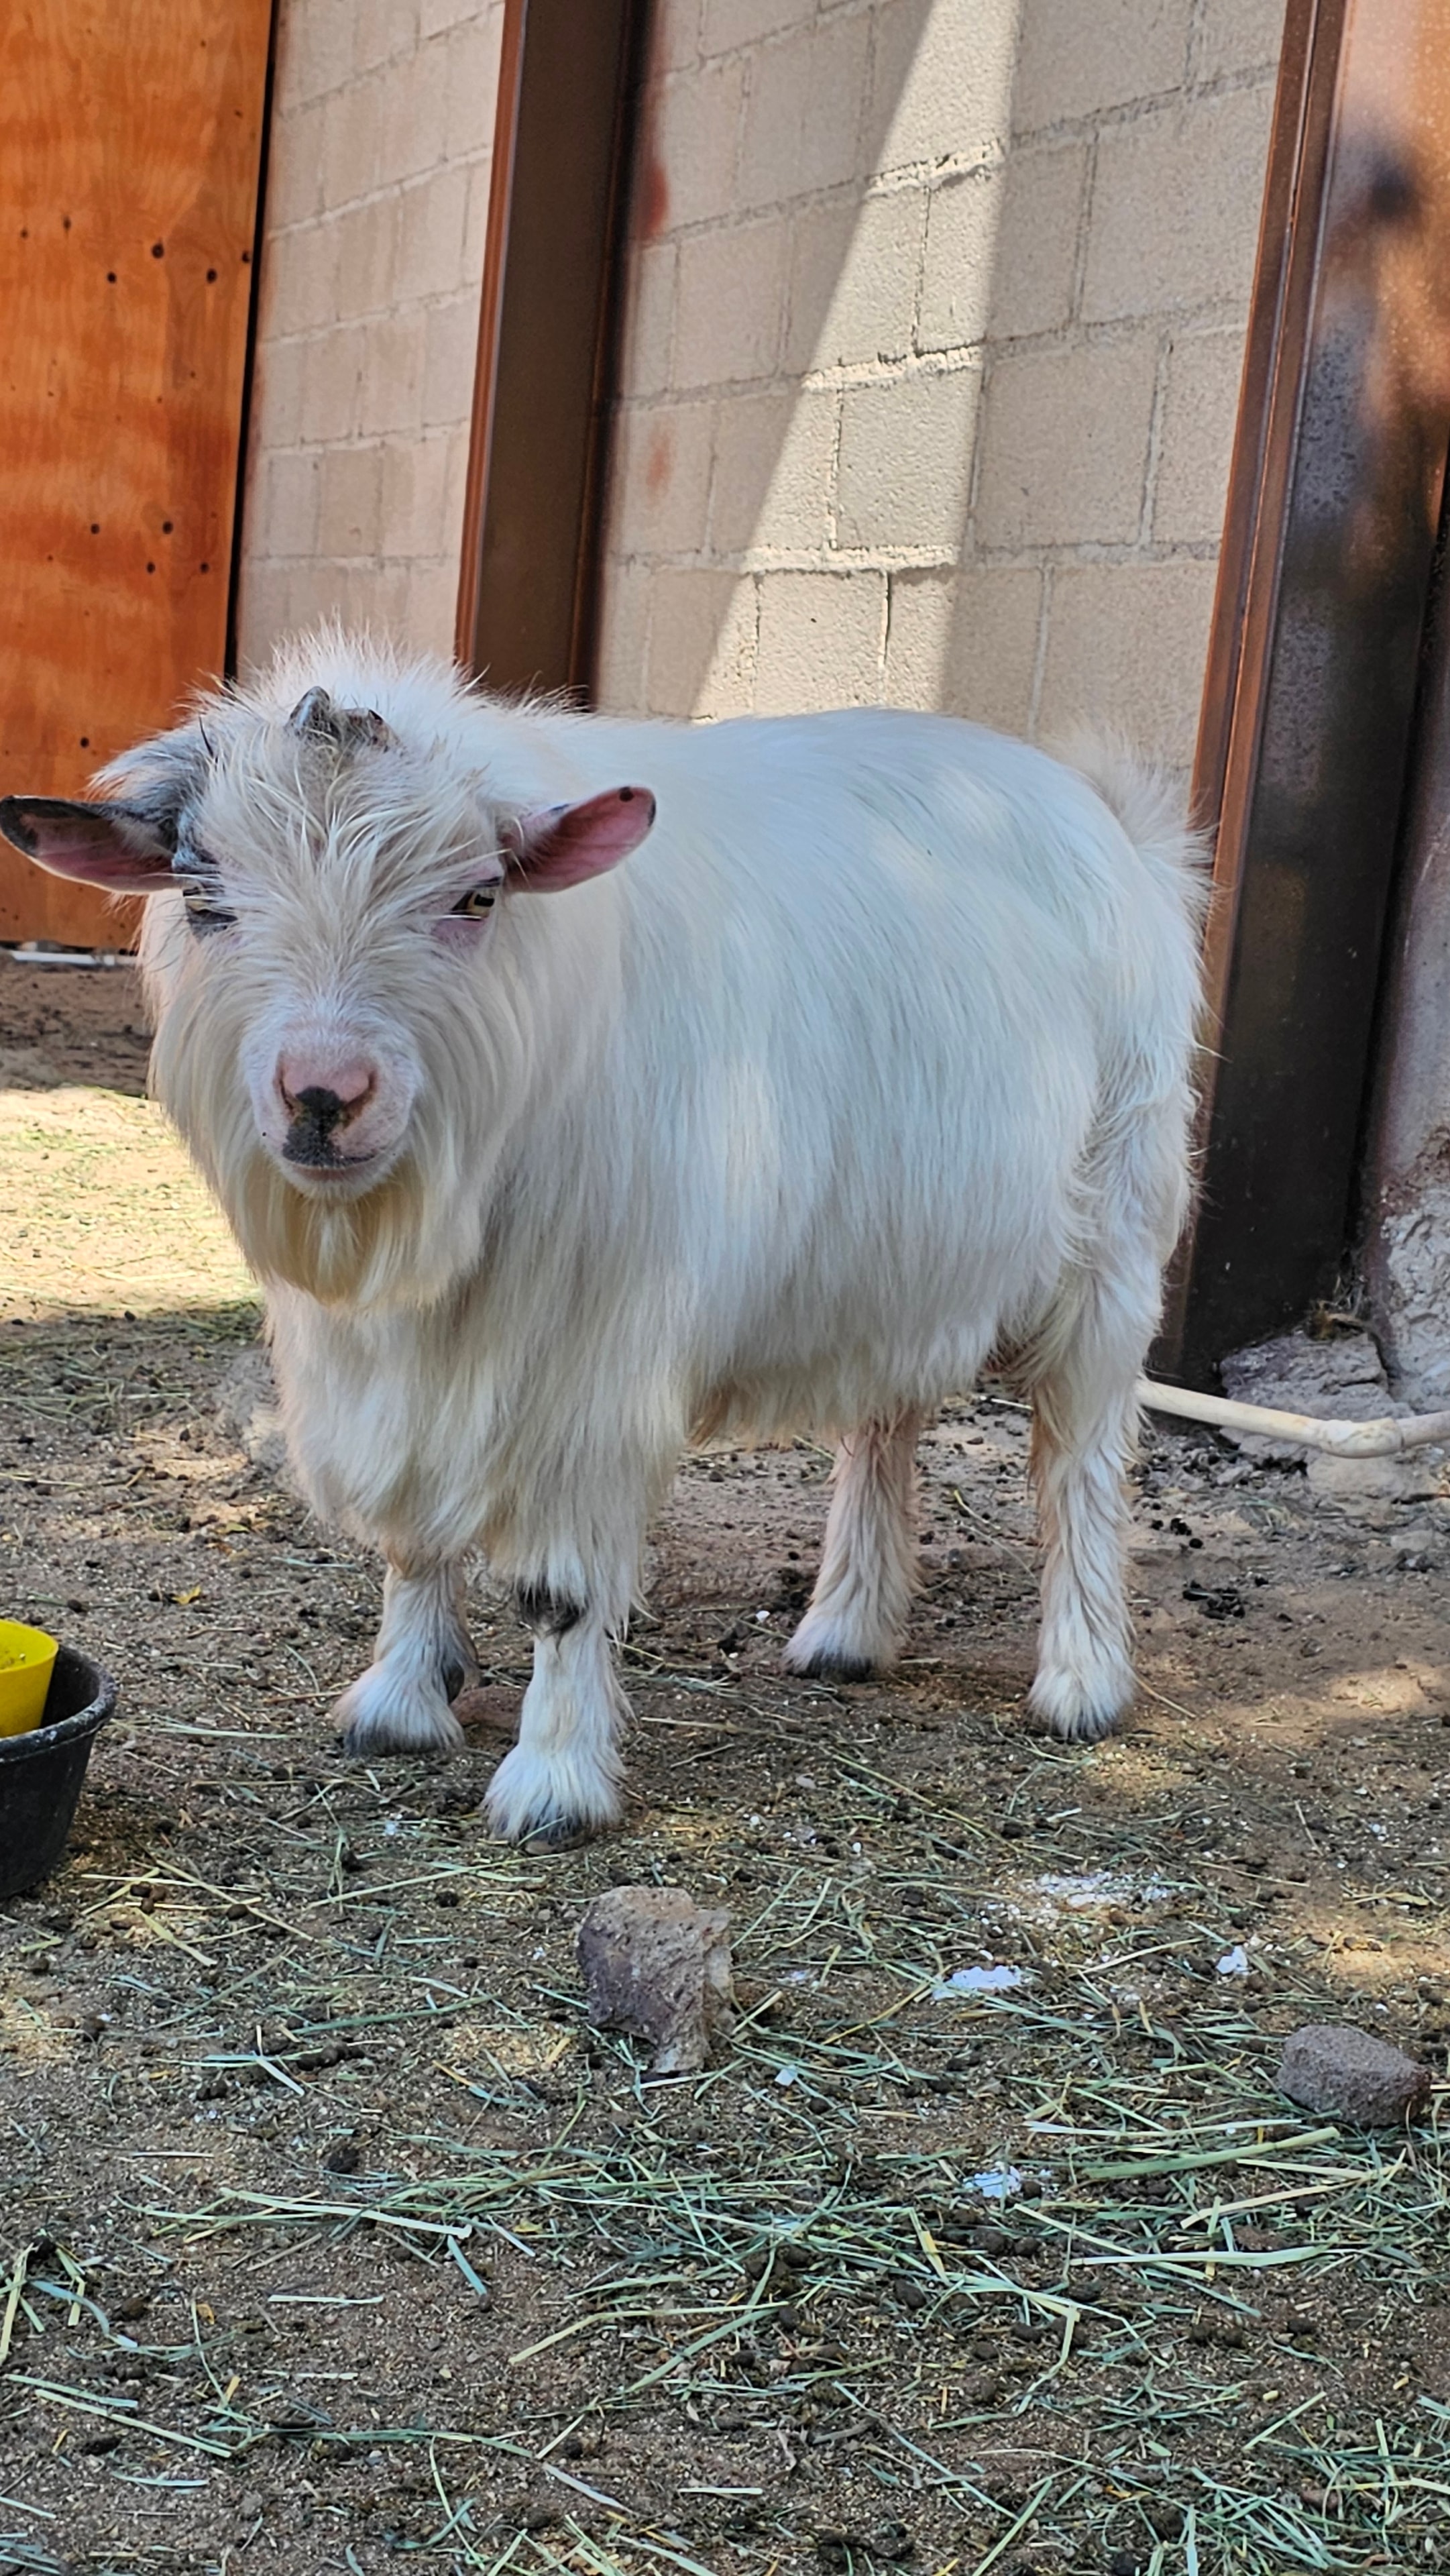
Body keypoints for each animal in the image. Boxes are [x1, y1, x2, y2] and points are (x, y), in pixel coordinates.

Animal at [0, 635, 1204, 1847]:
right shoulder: (393, 1364)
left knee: (1078, 1458)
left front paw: (554, 1783)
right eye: (206, 900)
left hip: (1113, 1236)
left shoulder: (595, 1366)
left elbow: (561, 1593)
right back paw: (847, 1633)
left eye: (476, 895)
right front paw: (398, 1702)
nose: (324, 1095)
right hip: (900, 1259)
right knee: (884, 1422)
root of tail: (1104, 815)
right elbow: (412, 1528)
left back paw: (1080, 1684)